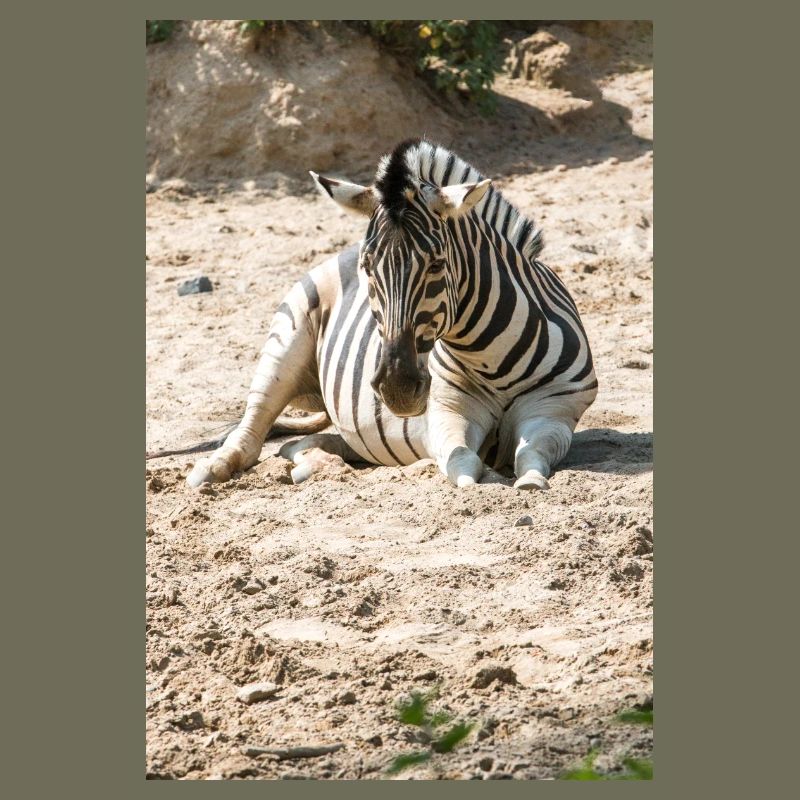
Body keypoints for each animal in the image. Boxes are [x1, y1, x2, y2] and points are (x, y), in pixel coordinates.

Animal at [185, 138, 597, 490]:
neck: (489, 357)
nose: (396, 388)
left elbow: (531, 454)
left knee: (303, 444)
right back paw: (211, 469)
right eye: (368, 267)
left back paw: (315, 465)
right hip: (286, 340)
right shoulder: (447, 411)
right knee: (253, 424)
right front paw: (483, 479)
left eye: (437, 264)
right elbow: (464, 463)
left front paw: (530, 480)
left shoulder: (555, 410)